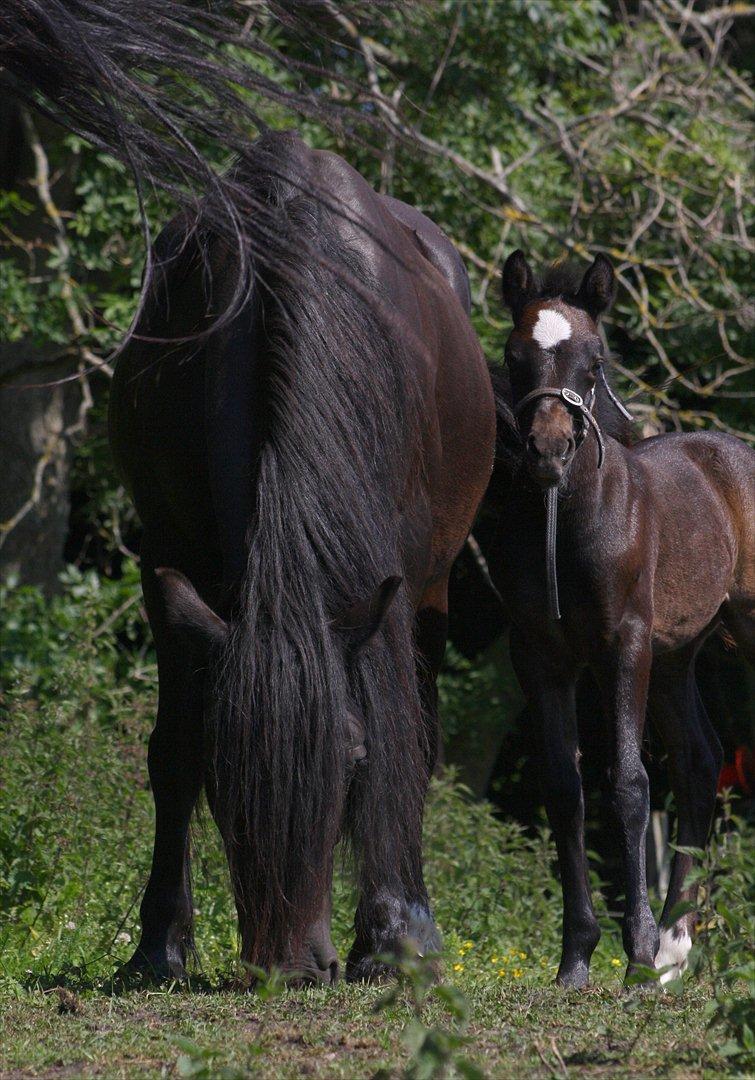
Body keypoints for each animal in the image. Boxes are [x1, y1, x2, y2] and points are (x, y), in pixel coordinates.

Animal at [108, 130, 496, 984]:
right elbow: (171, 751)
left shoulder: (389, 574)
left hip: (431, 589)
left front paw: (392, 938)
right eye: (225, 773)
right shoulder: (166, 561)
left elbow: (395, 740)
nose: (289, 967)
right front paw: (159, 947)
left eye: (347, 764)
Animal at [483, 250, 755, 989]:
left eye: (595, 360)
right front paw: (578, 957)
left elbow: (629, 785)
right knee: (699, 760)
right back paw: (675, 948)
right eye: (514, 355)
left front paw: (632, 949)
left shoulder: (621, 646)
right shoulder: (538, 656)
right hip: (675, 657)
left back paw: (660, 950)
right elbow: (563, 787)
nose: (548, 449)